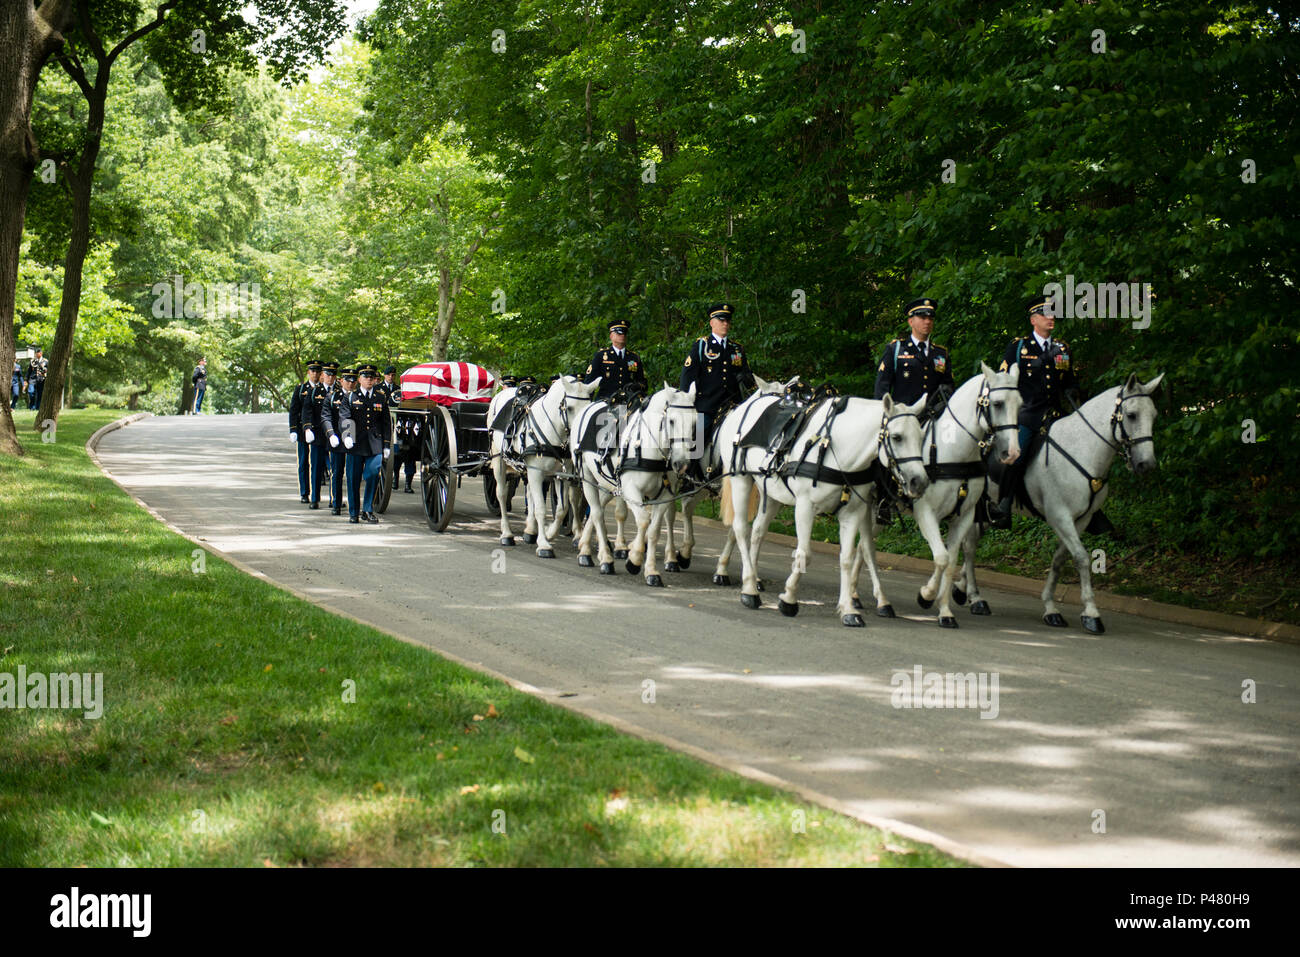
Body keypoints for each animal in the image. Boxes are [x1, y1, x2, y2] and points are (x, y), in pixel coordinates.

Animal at [488, 371, 600, 553]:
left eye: (588, 407)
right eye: (569, 408)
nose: (580, 439)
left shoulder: (562, 475)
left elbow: (562, 508)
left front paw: (549, 533)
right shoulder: (536, 472)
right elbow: (541, 508)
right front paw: (544, 544)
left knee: (531, 495)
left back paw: (530, 530)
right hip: (499, 461)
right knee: (501, 494)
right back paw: (507, 534)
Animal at [712, 390, 925, 629]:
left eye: (921, 437)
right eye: (897, 437)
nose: (919, 482)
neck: (839, 449)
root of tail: (745, 403)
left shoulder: (853, 513)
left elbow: (847, 558)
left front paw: (848, 609)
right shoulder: (805, 506)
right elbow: (805, 553)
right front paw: (789, 599)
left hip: (772, 492)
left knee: (757, 532)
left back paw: (752, 578)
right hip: (740, 479)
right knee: (740, 528)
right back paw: (748, 589)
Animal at [852, 361, 1024, 624]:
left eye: (1020, 403)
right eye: (997, 403)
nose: (1012, 452)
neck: (954, 451)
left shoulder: (965, 517)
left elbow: (951, 561)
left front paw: (945, 611)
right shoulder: (926, 513)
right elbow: (941, 557)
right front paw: (926, 596)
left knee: (863, 546)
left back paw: (856, 595)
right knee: (866, 547)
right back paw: (877, 600)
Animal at [956, 369, 1170, 631]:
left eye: (1154, 415)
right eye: (1131, 415)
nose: (1146, 464)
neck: (1082, 449)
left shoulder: (1081, 520)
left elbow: (1059, 559)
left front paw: (1050, 607)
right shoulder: (1060, 515)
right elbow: (1081, 557)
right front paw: (1091, 613)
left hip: (988, 510)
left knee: (972, 542)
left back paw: (962, 589)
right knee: (969, 546)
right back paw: (976, 597)